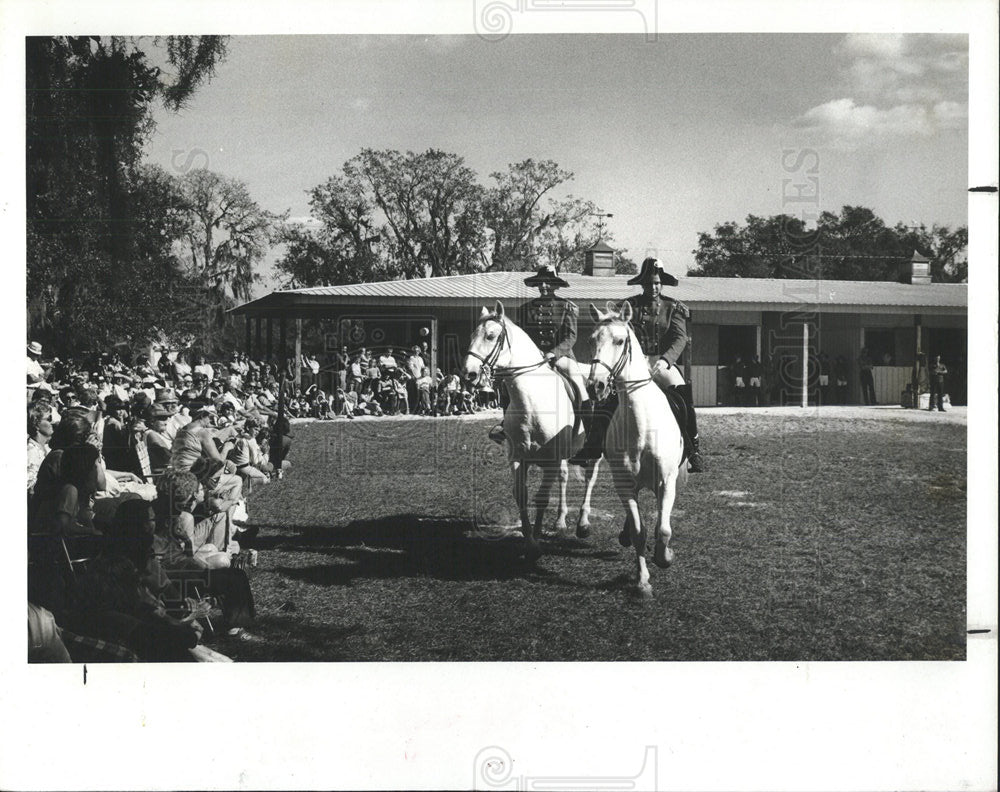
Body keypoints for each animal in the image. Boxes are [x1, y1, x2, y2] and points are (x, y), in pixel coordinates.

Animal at [462, 300, 600, 560]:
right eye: (472, 335)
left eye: (491, 335)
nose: (469, 374)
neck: (532, 403)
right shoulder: (518, 458)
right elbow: (522, 496)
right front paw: (530, 542)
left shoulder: (551, 459)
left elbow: (542, 498)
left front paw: (536, 542)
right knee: (564, 476)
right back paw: (560, 521)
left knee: (590, 477)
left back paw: (583, 523)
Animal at [588, 300, 684, 596]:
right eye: (592, 340)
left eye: (620, 341)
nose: (595, 386)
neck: (642, 427)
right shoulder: (625, 485)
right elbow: (639, 532)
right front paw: (642, 581)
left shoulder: (666, 482)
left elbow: (663, 530)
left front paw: (666, 557)